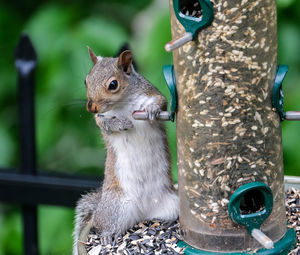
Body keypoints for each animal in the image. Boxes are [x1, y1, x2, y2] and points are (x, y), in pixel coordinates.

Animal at [73, 47, 179, 255]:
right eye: (86, 81)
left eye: (113, 84)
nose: (91, 107)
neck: (122, 103)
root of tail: (145, 211)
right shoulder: (101, 117)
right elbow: (103, 123)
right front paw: (120, 123)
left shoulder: (151, 92)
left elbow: (160, 102)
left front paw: (152, 110)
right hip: (115, 208)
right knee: (101, 225)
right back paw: (107, 236)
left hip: (173, 204)